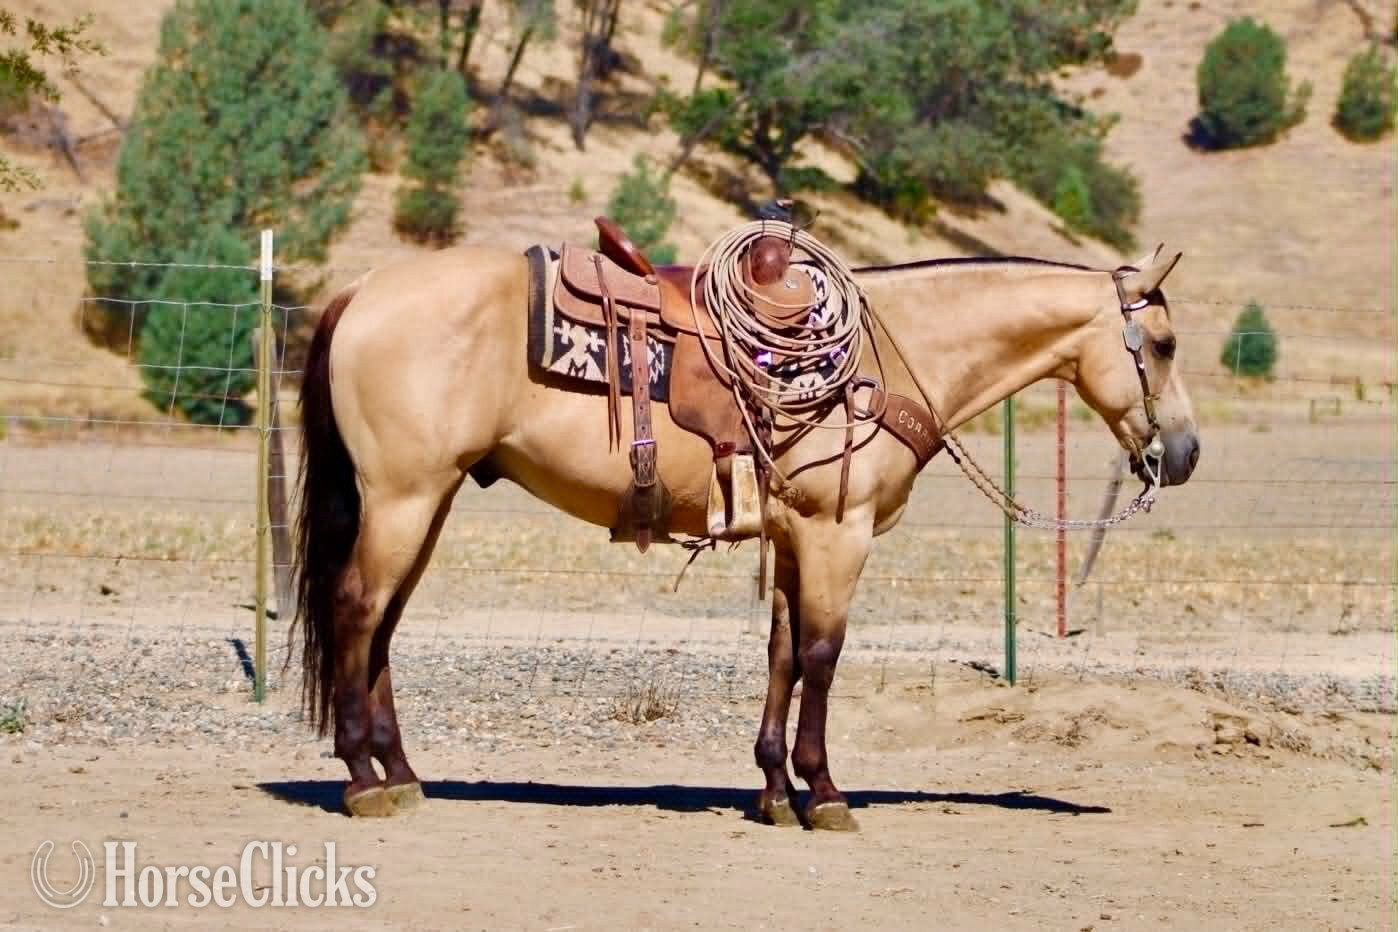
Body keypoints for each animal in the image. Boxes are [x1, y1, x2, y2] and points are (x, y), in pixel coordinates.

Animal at [290, 237, 1199, 828]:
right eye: (1161, 344)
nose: (1185, 453)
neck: (887, 353)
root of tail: (361, 291)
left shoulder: (798, 534)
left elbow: (784, 654)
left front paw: (774, 793)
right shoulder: (839, 532)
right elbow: (824, 656)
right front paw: (824, 794)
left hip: (427, 500)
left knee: (382, 627)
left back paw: (403, 775)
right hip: (403, 497)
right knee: (357, 610)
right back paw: (363, 780)